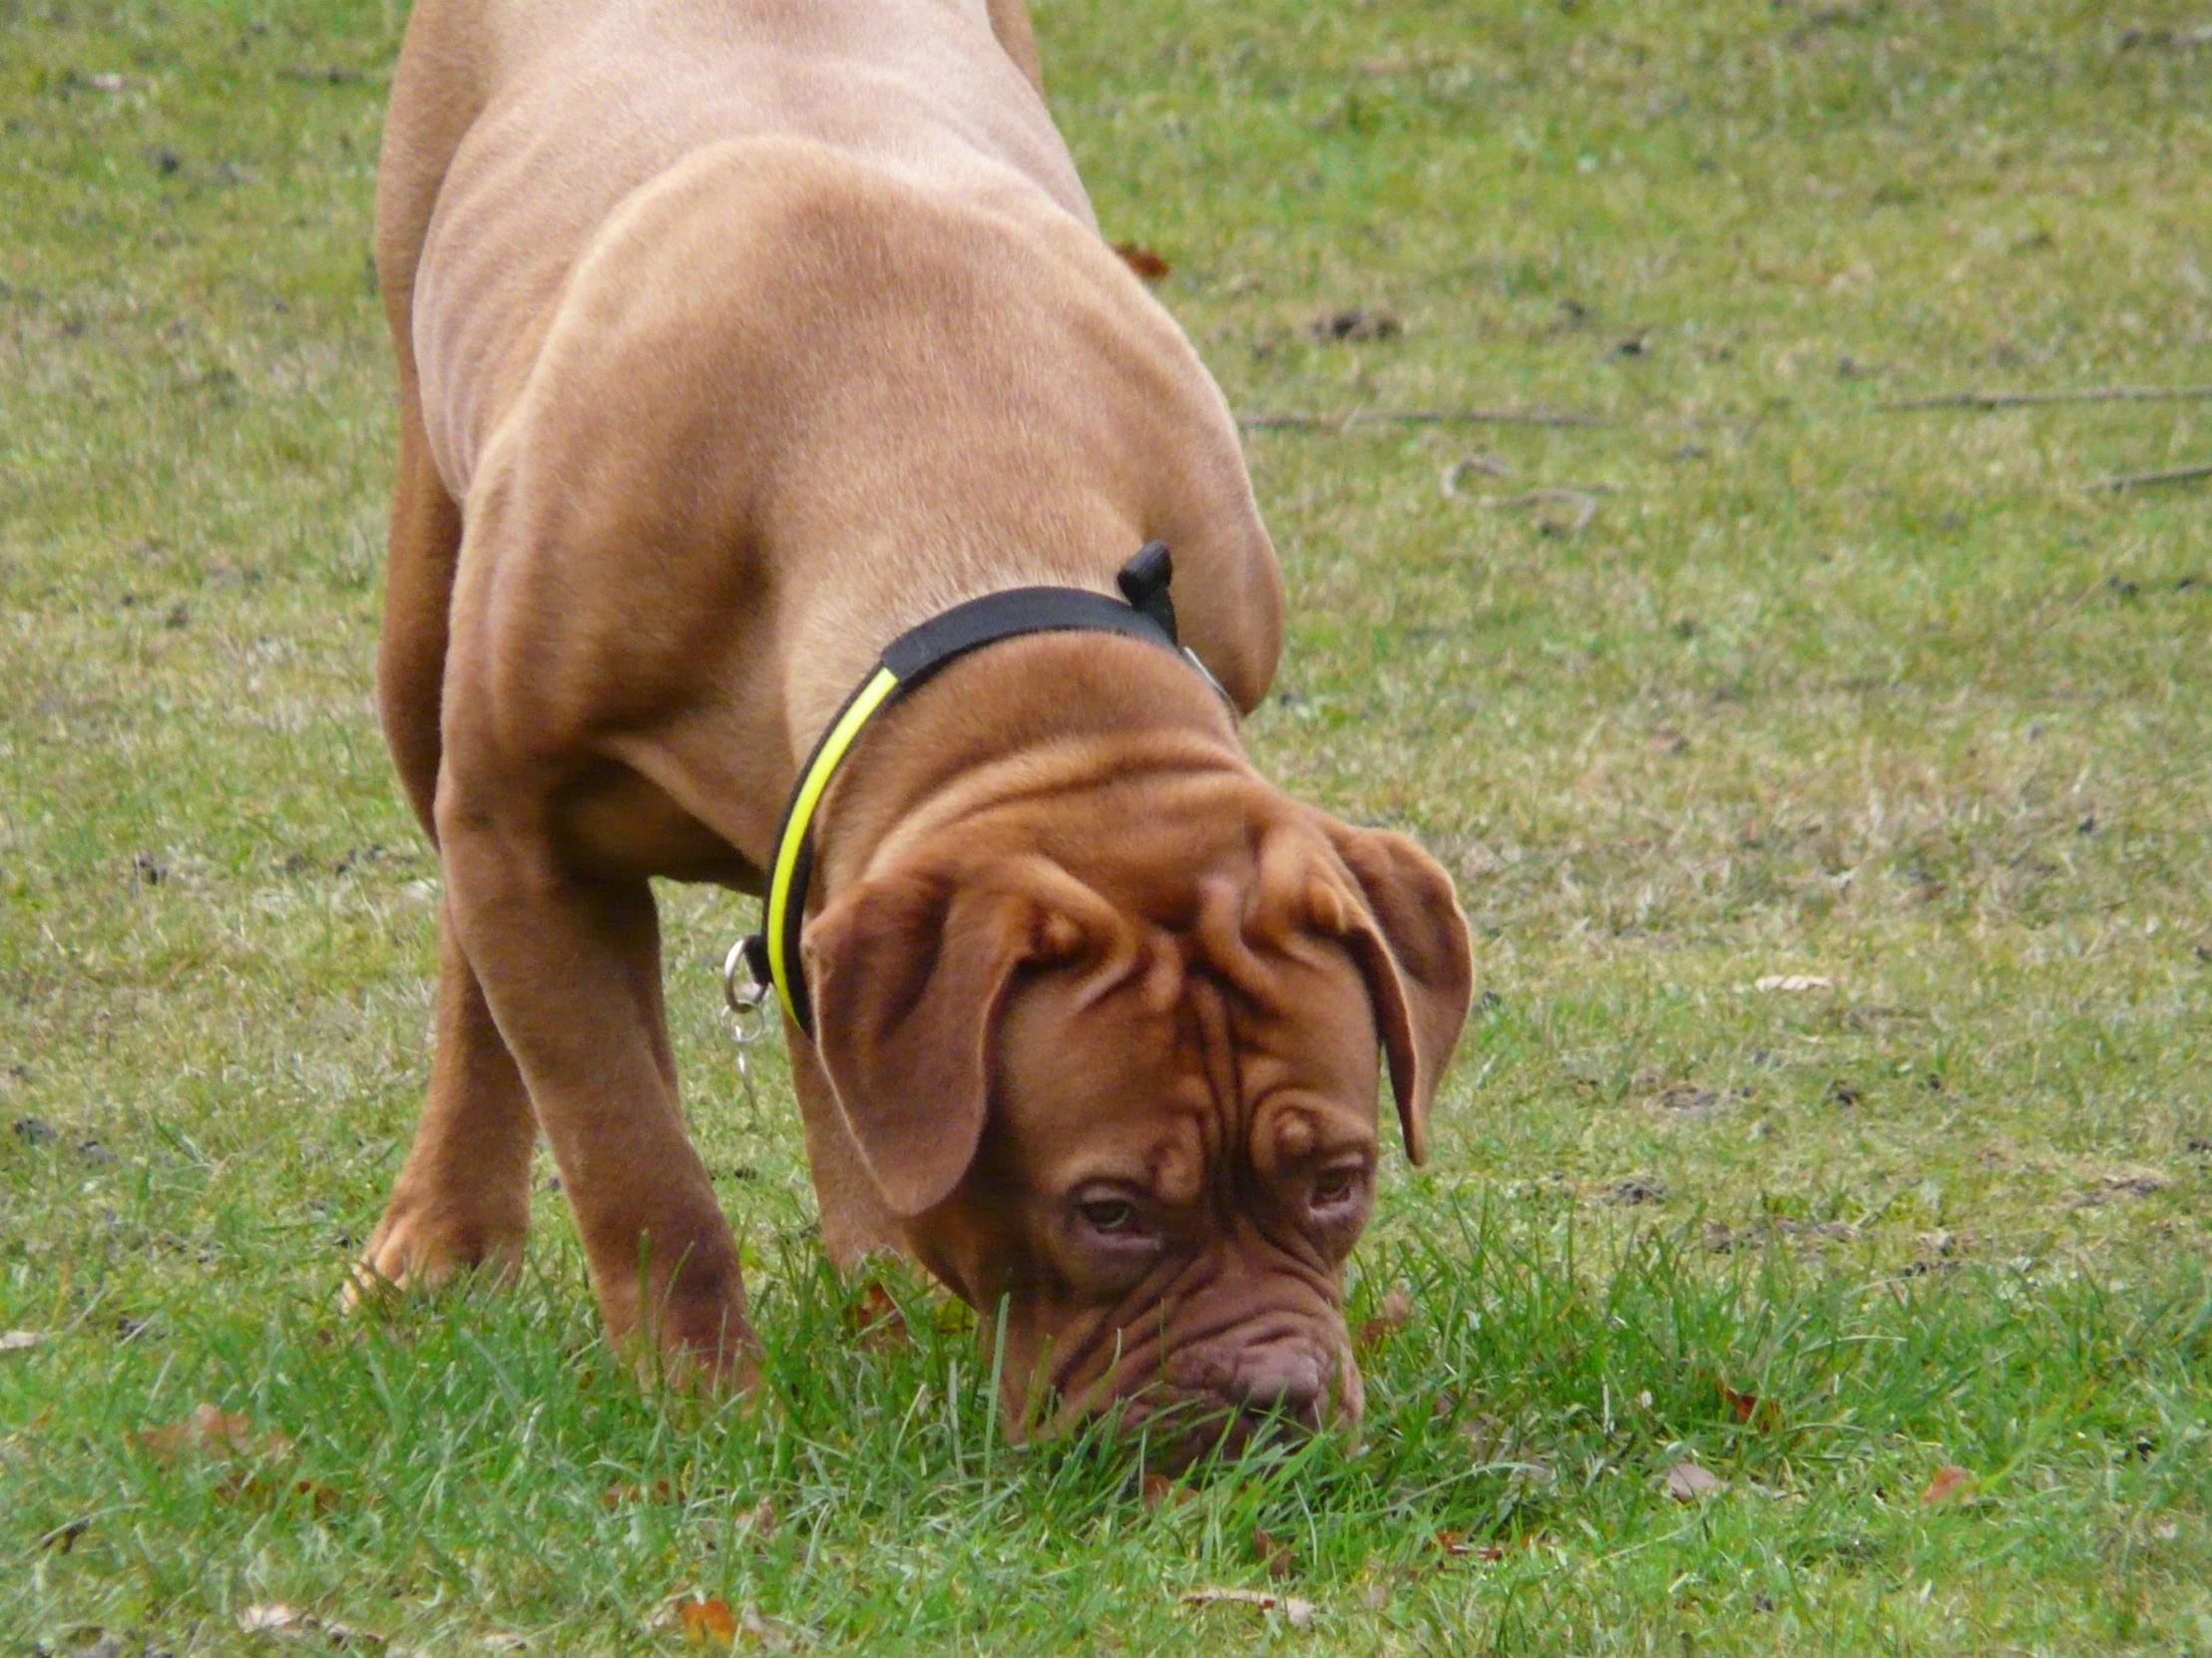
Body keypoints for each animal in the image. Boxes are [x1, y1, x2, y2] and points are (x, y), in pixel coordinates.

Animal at [358, 0, 1469, 1450]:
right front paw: (704, 1411)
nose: (1267, 1405)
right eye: (1107, 1210)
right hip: (426, 611)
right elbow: (639, 1168)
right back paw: (444, 1238)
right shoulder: (522, 829)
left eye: (1337, 1178)